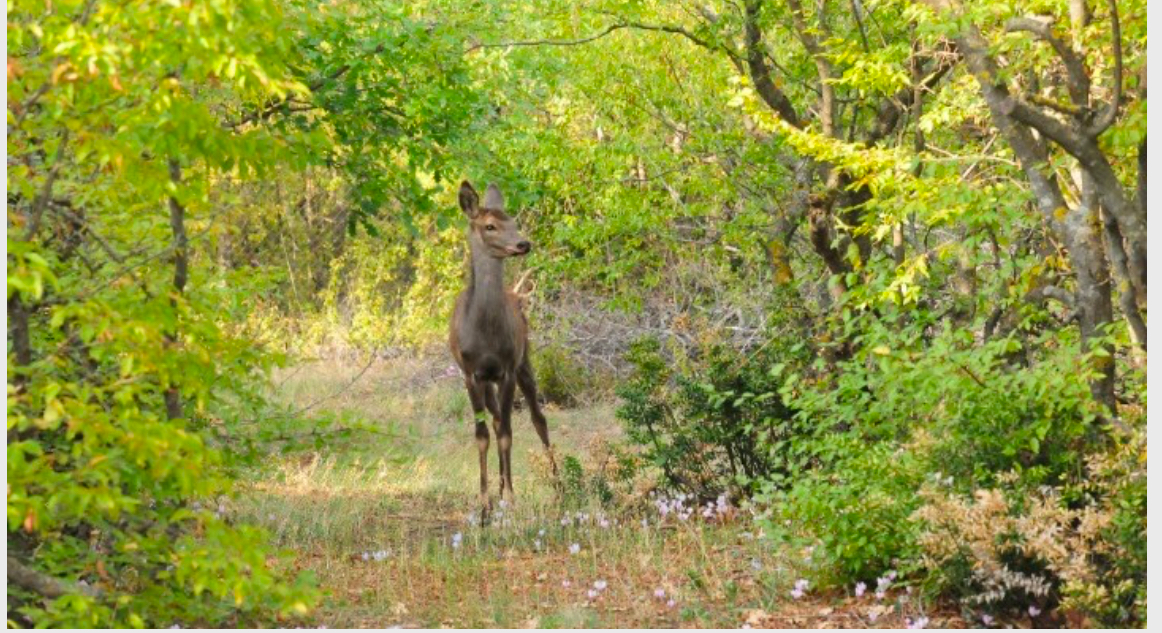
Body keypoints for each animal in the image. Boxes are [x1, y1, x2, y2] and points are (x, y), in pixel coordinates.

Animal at [446, 178, 555, 513]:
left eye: (514, 222)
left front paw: (510, 497)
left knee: (538, 418)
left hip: (525, 360)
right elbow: (483, 435)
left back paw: (559, 483)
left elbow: (507, 434)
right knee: (495, 422)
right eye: (490, 226)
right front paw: (485, 502)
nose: (523, 244)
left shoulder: (506, 369)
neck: (485, 335)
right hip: (488, 380)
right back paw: (498, 485)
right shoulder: (471, 374)